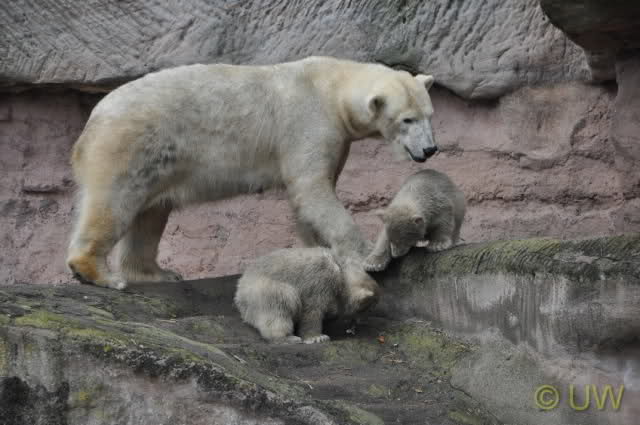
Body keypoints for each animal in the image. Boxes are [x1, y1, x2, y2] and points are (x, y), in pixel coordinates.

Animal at [66, 56, 438, 290]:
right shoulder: (308, 122)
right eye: (407, 120)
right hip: (130, 145)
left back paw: (158, 274)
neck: (330, 87)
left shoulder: (334, 136)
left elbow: (309, 198)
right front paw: (366, 255)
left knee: (150, 214)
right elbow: (312, 189)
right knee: (115, 202)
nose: (431, 149)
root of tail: (92, 120)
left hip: (157, 160)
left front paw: (320, 250)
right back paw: (101, 274)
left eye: (429, 114)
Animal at [234, 247, 381, 344]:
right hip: (260, 290)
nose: (361, 322)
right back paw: (288, 337)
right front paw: (317, 337)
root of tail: (239, 291)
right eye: (370, 307)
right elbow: (312, 309)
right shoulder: (321, 277)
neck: (340, 270)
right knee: (282, 301)